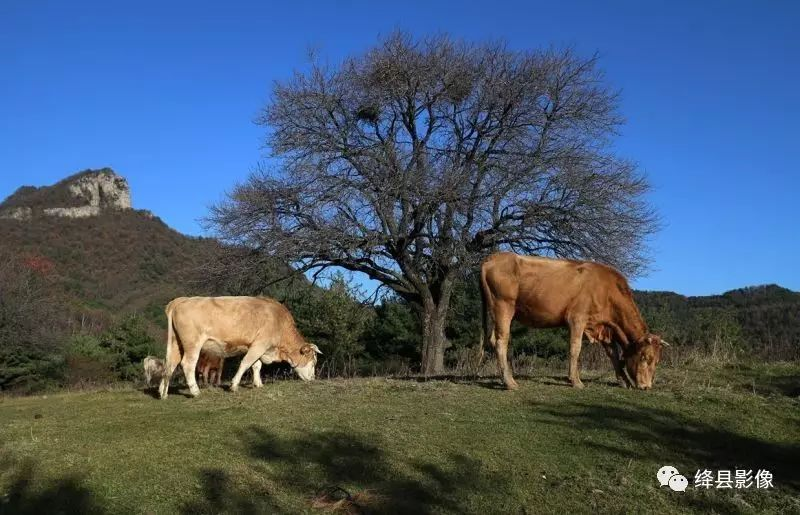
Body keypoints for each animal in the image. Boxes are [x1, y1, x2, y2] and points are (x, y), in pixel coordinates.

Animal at [159, 296, 322, 402]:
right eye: (313, 361)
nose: (313, 378)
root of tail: (181, 300)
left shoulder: (257, 347)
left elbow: (256, 365)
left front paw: (258, 384)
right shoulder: (260, 344)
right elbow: (246, 363)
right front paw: (234, 385)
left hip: (176, 343)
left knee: (170, 364)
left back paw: (163, 393)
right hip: (192, 344)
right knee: (187, 364)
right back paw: (195, 391)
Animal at [482, 253, 668, 392]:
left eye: (657, 361)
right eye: (645, 357)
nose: (646, 386)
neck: (606, 290)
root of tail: (494, 257)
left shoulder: (605, 326)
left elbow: (613, 354)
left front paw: (624, 381)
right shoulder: (577, 318)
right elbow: (575, 348)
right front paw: (575, 381)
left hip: (495, 312)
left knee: (493, 340)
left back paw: (501, 379)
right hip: (504, 306)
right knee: (502, 341)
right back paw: (510, 382)